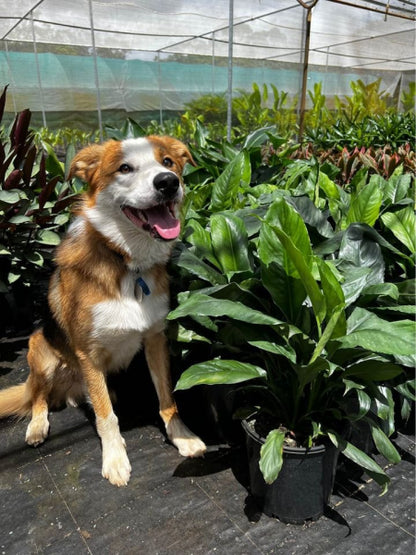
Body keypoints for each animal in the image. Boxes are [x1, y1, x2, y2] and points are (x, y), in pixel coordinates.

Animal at [0, 136, 207, 486]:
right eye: (124, 168)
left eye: (167, 162)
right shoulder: (88, 354)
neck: (126, 260)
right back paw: (38, 426)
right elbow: (106, 416)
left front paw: (183, 437)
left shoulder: (155, 339)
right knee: (39, 398)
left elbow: (168, 399)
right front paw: (114, 459)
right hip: (40, 351)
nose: (168, 182)